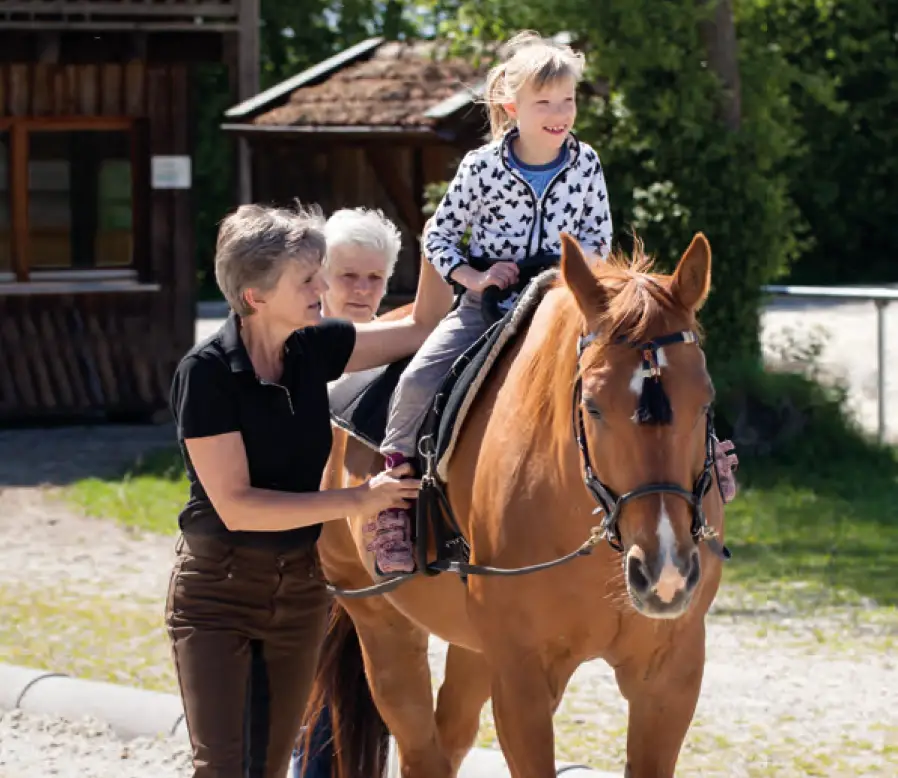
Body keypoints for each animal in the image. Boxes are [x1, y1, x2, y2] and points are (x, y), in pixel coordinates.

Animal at [304, 230, 724, 776]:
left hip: (471, 647)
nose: (665, 571)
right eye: (592, 406)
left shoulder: (670, 678)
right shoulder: (521, 679)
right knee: (420, 749)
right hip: (378, 618)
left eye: (706, 400)